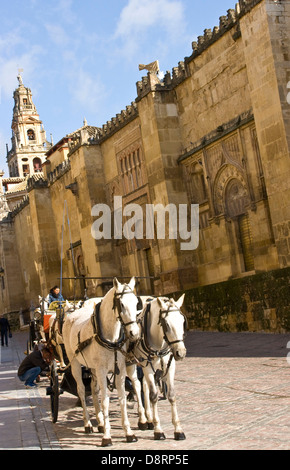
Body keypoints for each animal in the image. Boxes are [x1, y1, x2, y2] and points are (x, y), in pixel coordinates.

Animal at [62, 278, 142, 446]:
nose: (134, 333)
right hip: (75, 364)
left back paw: (99, 422)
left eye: (136, 303)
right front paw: (107, 436)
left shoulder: (119, 369)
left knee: (93, 389)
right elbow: (105, 401)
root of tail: (73, 313)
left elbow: (122, 398)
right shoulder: (101, 370)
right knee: (81, 390)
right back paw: (88, 424)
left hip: (92, 368)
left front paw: (128, 432)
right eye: (121, 304)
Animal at [126, 294, 186, 440]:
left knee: (144, 387)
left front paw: (178, 429)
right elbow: (153, 396)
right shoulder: (147, 367)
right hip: (132, 364)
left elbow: (171, 395)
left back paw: (149, 419)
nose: (181, 353)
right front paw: (158, 430)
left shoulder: (170, 366)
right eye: (166, 324)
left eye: (182, 321)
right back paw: (143, 420)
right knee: (136, 386)